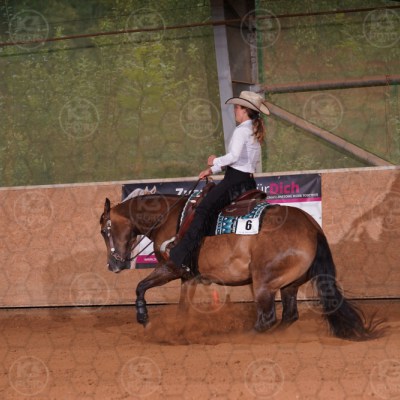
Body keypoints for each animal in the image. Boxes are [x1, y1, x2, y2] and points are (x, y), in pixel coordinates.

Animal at [99, 191, 383, 341]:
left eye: (104, 230)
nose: (113, 265)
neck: (170, 218)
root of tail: (312, 227)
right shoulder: (188, 277)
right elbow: (182, 307)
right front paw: (177, 331)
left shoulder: (172, 267)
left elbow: (140, 286)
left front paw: (144, 319)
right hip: (288, 284)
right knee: (288, 315)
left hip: (263, 282)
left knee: (268, 318)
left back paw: (245, 336)